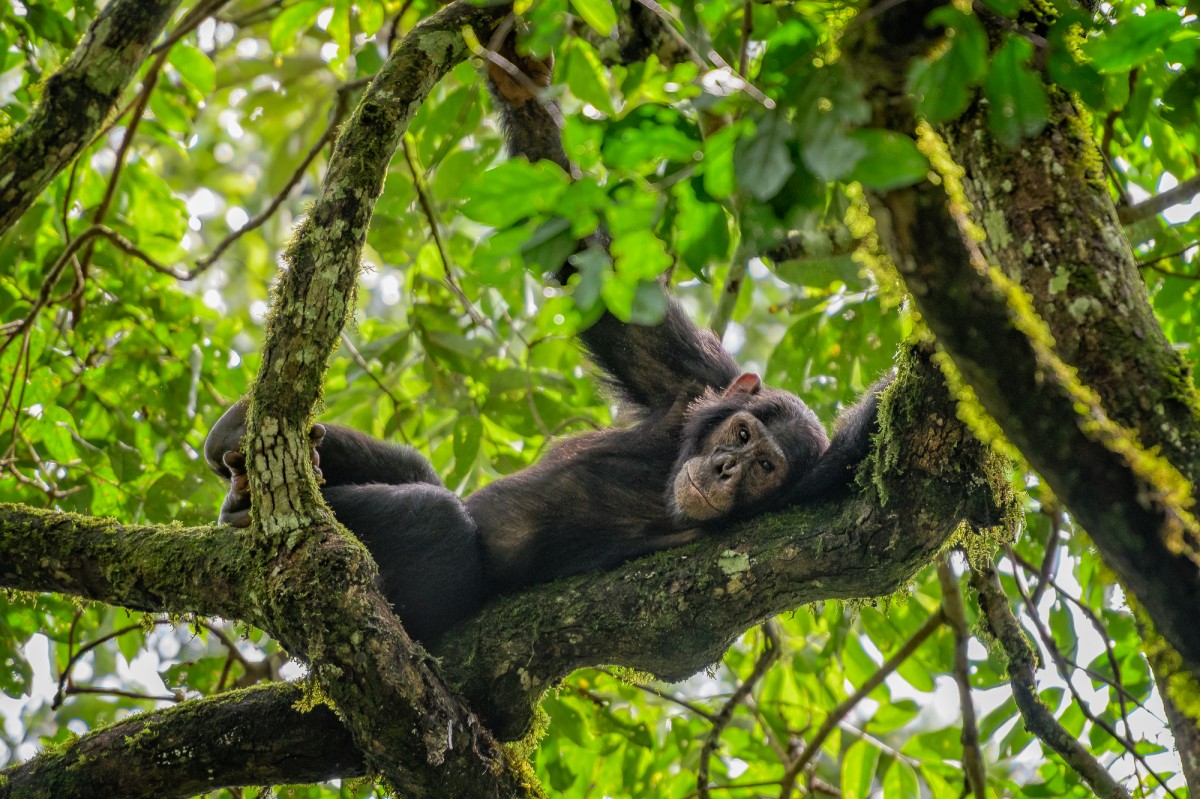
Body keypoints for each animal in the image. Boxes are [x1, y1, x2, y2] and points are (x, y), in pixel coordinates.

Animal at [199, 49, 892, 643]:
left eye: (766, 468)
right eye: (742, 435)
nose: (727, 469)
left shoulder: (808, 487)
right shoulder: (695, 376)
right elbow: (592, 262)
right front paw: (521, 76)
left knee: (438, 518)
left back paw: (247, 509)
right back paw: (240, 443)